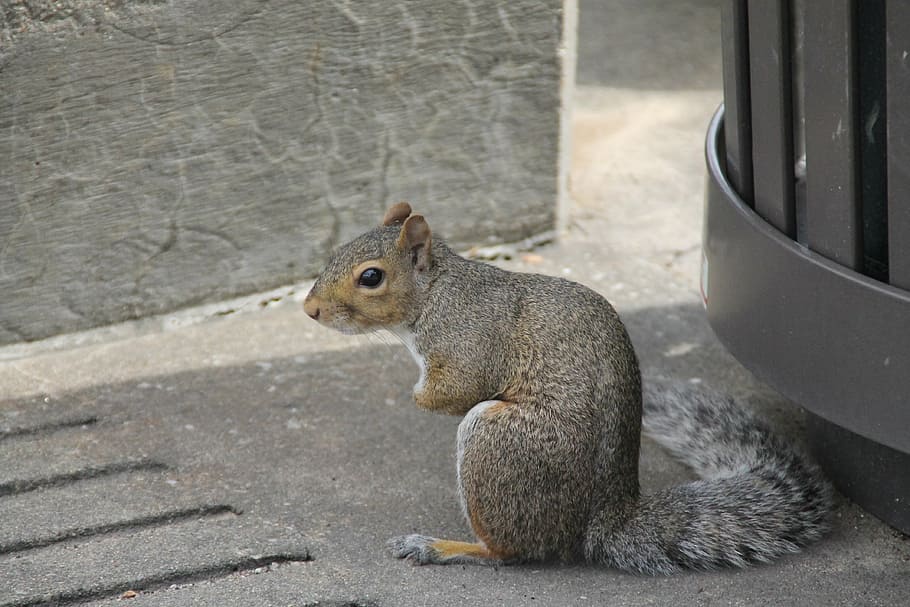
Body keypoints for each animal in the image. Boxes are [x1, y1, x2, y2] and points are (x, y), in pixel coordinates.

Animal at [303, 202, 832, 574]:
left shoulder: (468, 343)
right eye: (333, 254)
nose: (310, 310)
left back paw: (441, 546)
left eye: (371, 277)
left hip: (496, 443)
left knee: (513, 551)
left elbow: (456, 390)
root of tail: (600, 520)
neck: (437, 292)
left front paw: (414, 396)